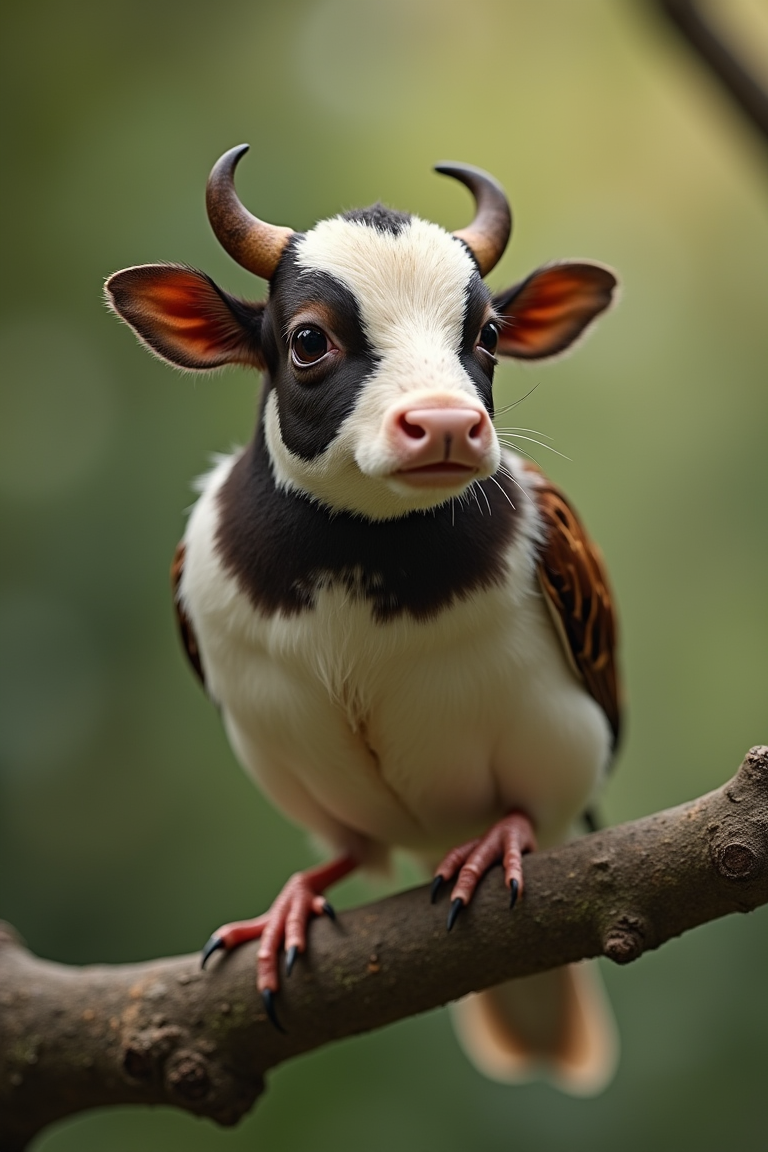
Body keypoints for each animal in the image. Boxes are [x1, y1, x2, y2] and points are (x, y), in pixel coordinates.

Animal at [106, 145, 621, 1094]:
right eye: (310, 340)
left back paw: (486, 841)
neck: (356, 550)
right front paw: (293, 900)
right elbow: (341, 850)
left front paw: (502, 837)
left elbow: (527, 808)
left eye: (488, 336)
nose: (449, 424)